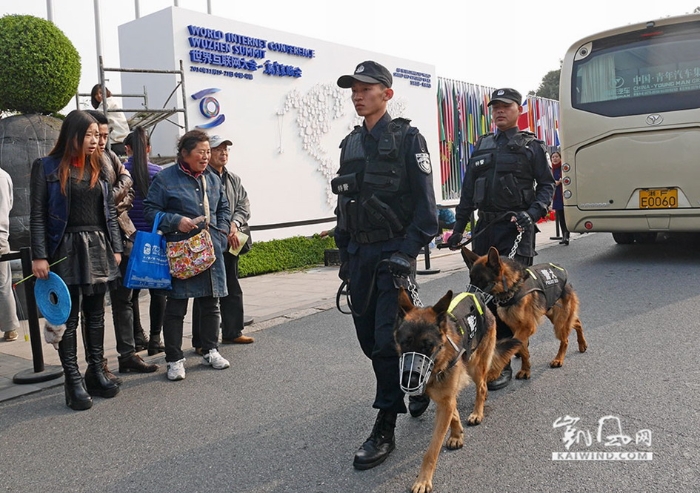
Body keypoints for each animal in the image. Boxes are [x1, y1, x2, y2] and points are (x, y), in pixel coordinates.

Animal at [394, 286, 520, 490]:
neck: (439, 358)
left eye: (428, 346)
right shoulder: (443, 396)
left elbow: (432, 449)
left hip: (474, 364)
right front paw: (456, 434)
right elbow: (453, 410)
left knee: (482, 386)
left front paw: (423, 480)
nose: (411, 381)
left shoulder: (446, 396)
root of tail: (478, 295)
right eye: (405, 343)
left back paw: (478, 411)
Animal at [462, 244, 588, 378]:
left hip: (559, 322)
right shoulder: (516, 328)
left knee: (565, 339)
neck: (512, 288)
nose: (469, 298)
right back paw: (582, 344)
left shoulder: (527, 327)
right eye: (471, 279)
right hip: (554, 315)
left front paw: (495, 370)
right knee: (576, 322)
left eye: (482, 280)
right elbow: (522, 350)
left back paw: (559, 359)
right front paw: (525, 369)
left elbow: (512, 346)